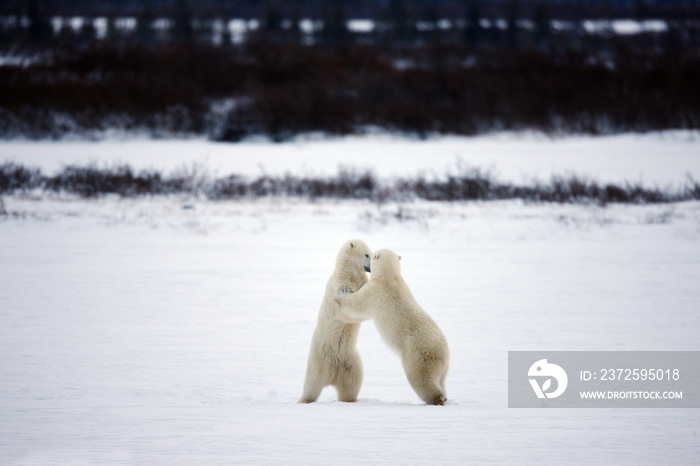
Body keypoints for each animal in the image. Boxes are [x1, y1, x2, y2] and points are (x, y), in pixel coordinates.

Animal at [296, 238, 372, 402]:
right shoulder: (338, 284)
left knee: (351, 385)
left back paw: (349, 399)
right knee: (312, 384)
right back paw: (304, 400)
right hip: (319, 359)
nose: (372, 267)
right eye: (367, 254)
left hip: (351, 362)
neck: (349, 273)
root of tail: (333, 376)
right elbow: (347, 312)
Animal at [334, 249, 448, 406]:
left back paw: (436, 398)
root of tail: (443, 353)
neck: (389, 276)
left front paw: (341, 293)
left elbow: (357, 305)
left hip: (417, 355)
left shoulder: (375, 291)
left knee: (422, 379)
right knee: (441, 380)